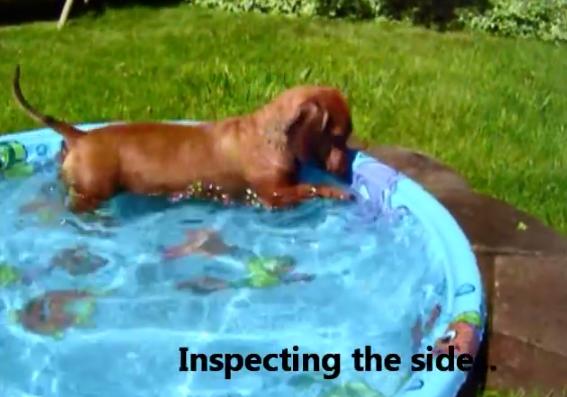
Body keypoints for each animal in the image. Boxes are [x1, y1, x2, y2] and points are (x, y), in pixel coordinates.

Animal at [12, 66, 356, 212]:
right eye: (339, 137)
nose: (348, 172)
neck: (269, 136)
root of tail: (81, 136)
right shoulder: (272, 195)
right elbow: (310, 187)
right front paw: (336, 192)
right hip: (93, 192)